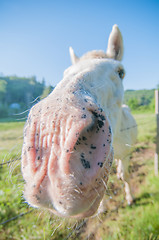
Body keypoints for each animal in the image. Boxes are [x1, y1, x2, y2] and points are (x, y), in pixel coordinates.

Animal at [21, 24, 137, 219]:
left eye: (120, 72)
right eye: (65, 73)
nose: (54, 129)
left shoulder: (126, 155)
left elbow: (126, 176)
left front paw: (130, 198)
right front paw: (103, 208)